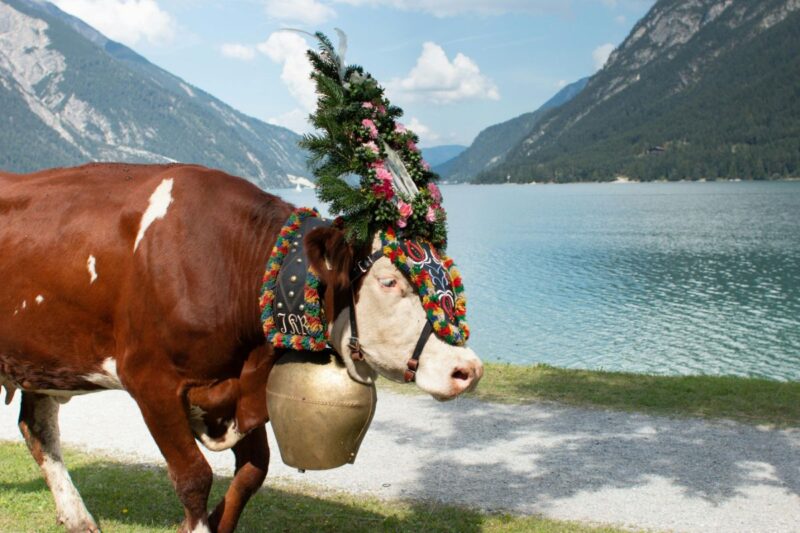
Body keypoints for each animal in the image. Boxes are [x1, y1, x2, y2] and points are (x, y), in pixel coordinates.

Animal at [0, 162, 483, 533]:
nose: (468, 369)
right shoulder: (150, 381)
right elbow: (193, 477)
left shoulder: (242, 384)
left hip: (40, 359)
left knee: (37, 427)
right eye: (388, 282)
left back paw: (78, 518)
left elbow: (253, 472)